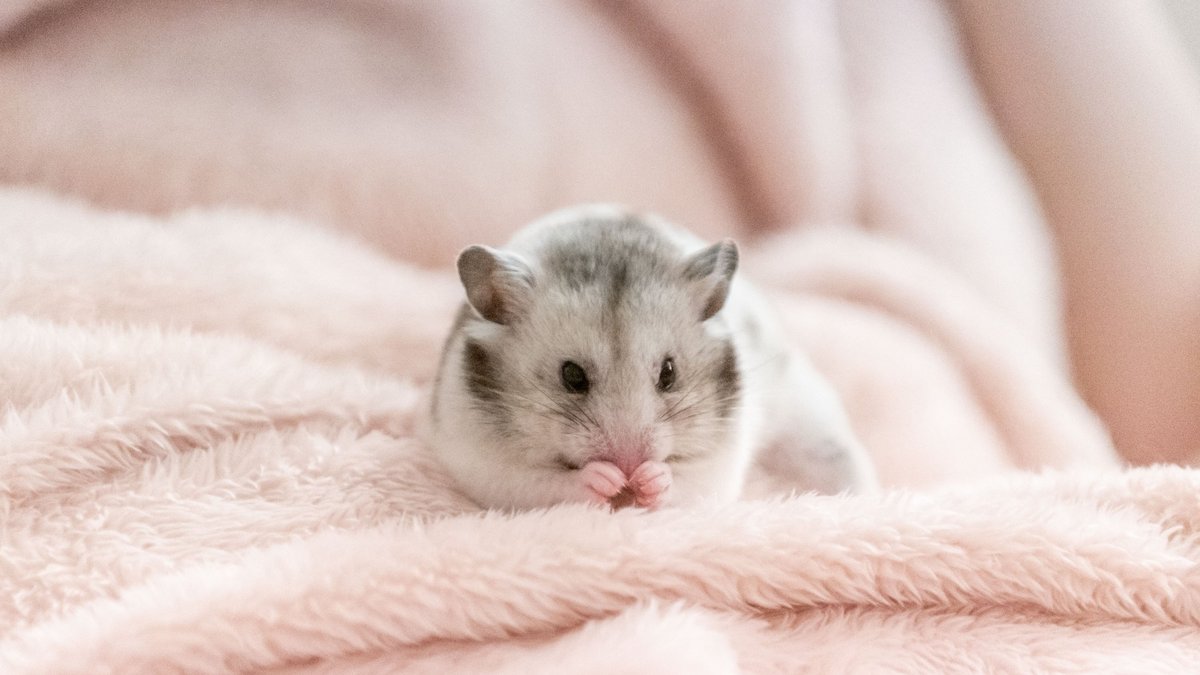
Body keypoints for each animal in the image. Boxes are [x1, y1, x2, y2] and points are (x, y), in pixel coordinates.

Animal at [424, 204, 877, 510]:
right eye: (571, 376)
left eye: (669, 373)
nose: (629, 466)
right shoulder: (479, 458)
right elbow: (537, 484)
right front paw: (605, 480)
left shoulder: (722, 458)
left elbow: (691, 480)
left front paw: (649, 480)